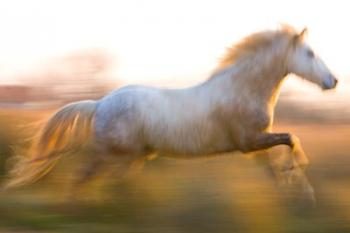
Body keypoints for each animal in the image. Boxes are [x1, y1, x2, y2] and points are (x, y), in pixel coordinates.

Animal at [5, 25, 338, 200]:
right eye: (310, 53)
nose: (332, 81)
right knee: (83, 177)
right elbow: (292, 139)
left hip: (131, 157)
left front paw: (295, 187)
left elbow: (277, 162)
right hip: (113, 153)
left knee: (106, 179)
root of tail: (99, 104)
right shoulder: (250, 141)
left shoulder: (256, 144)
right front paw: (302, 181)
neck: (241, 89)